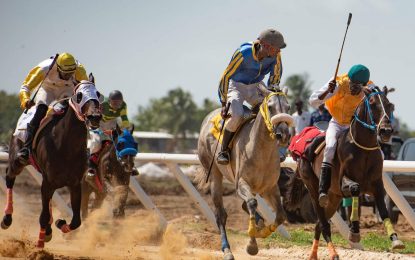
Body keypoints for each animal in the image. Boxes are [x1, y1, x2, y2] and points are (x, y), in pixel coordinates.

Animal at [2, 78, 103, 249]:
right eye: (79, 95)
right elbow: (42, 216)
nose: (94, 116)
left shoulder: (74, 184)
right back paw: (7, 219)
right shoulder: (48, 182)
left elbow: (76, 221)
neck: (66, 145)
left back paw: (49, 229)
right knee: (10, 177)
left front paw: (59, 223)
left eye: (98, 94)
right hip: (18, 159)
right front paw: (39, 246)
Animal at [197, 86, 294, 260]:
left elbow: (280, 215)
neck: (261, 150)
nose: (283, 135)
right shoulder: (241, 183)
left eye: (288, 107)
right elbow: (252, 203)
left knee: (244, 205)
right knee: (221, 214)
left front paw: (261, 231)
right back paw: (227, 250)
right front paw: (252, 245)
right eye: (270, 107)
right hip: (214, 174)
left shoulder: (270, 188)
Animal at [296, 86, 406, 258]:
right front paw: (354, 231)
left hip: (334, 198)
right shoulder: (344, 182)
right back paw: (333, 254)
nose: (386, 130)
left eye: (389, 105)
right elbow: (355, 189)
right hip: (314, 191)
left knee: (319, 224)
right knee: (323, 223)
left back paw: (314, 255)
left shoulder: (377, 185)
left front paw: (395, 240)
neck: (363, 148)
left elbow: (383, 210)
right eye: (372, 103)